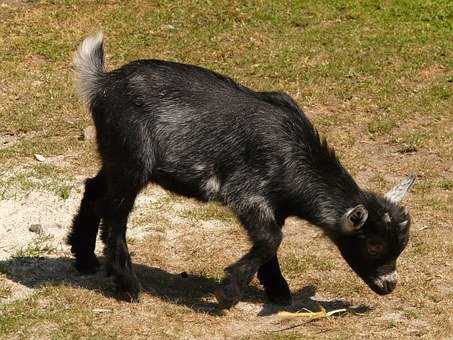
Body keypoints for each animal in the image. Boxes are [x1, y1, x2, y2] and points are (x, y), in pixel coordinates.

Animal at [66, 33, 414, 306]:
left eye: (401, 245)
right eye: (374, 244)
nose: (389, 286)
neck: (295, 156)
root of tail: (103, 83)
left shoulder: (275, 205)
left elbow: (270, 241)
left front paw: (278, 290)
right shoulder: (246, 193)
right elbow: (271, 238)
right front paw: (229, 292)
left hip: (116, 156)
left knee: (94, 189)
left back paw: (85, 258)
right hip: (132, 158)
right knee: (115, 215)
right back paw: (127, 285)